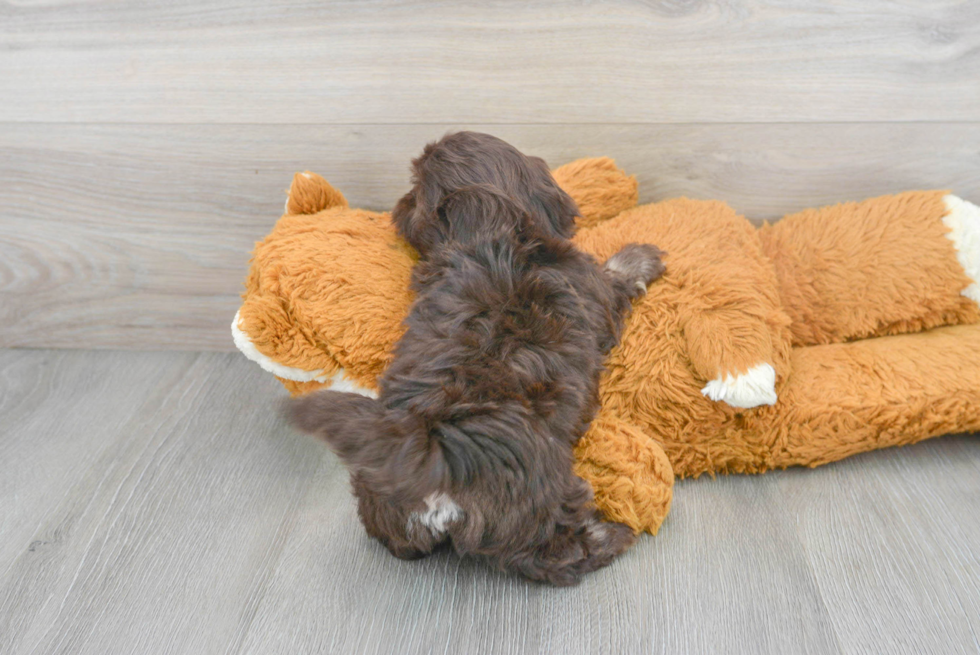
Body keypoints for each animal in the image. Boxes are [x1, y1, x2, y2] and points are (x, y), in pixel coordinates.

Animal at [288, 132, 664, 584]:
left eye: (414, 192)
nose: (398, 205)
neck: (488, 232)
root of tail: (435, 456)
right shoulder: (595, 291)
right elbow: (616, 275)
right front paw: (642, 257)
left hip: (380, 493)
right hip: (540, 501)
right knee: (557, 552)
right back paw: (611, 536)